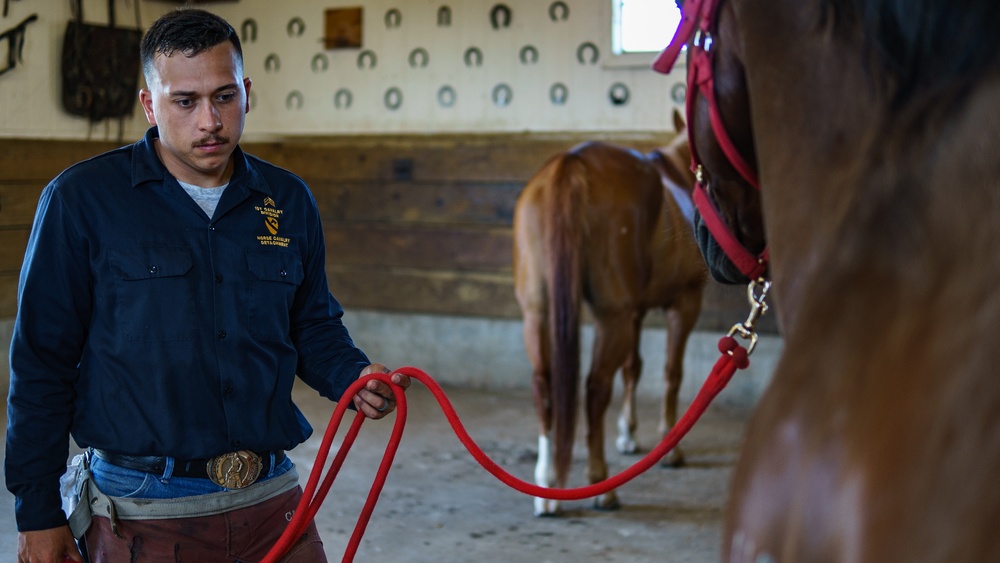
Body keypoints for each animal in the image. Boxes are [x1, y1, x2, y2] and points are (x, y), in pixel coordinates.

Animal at [512, 112, 708, 516]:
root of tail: (571, 164)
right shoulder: (683, 305)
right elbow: (672, 373)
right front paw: (670, 448)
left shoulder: (635, 313)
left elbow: (634, 368)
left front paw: (628, 435)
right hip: (611, 317)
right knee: (595, 388)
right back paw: (602, 486)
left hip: (539, 314)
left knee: (544, 385)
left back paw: (546, 487)